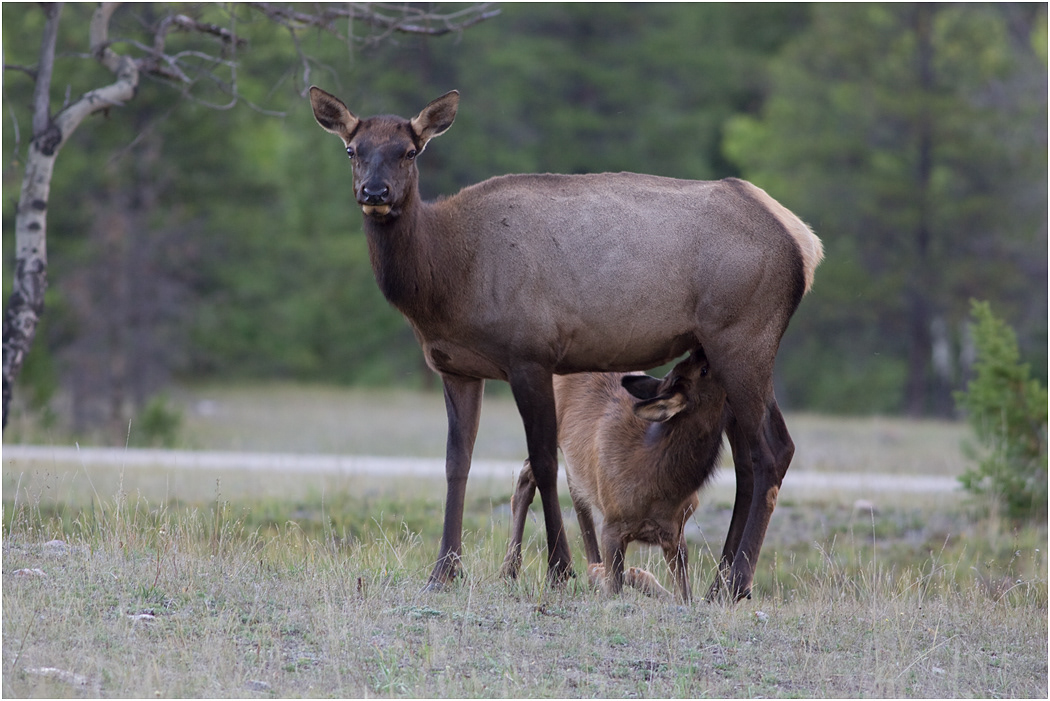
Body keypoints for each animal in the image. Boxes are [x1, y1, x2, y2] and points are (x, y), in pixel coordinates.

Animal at [500, 349, 729, 603]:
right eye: (704, 370)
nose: (700, 350)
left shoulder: (676, 533)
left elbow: (685, 597)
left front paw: (635, 575)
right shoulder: (612, 525)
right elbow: (614, 589)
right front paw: (611, 575)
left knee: (572, 493)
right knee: (530, 474)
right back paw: (510, 569)